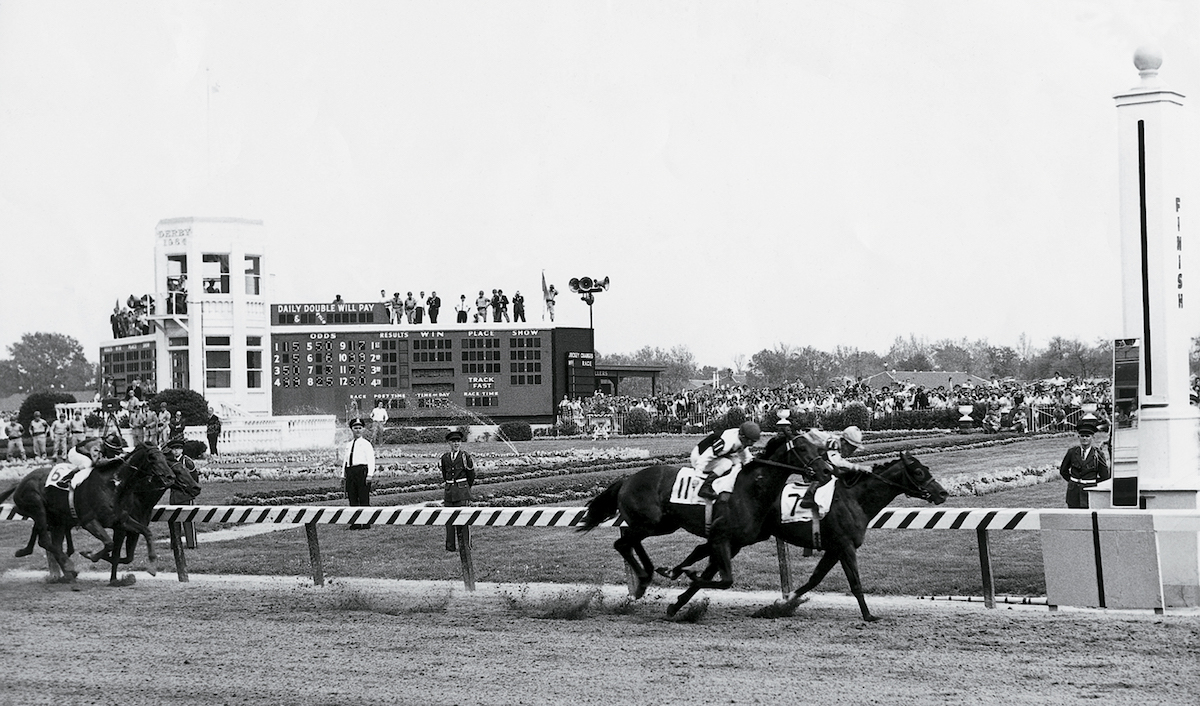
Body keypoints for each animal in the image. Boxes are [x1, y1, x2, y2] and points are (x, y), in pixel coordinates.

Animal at [0, 444, 175, 581]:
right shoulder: (89, 521)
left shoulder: (122, 520)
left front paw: (152, 565)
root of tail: (20, 482)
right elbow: (109, 543)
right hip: (38, 507)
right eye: (152, 458)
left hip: (56, 519)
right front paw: (89, 554)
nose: (170, 476)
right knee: (44, 540)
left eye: (164, 457)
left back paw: (28, 553)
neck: (114, 485)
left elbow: (146, 531)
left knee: (47, 538)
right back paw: (69, 566)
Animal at [576, 432, 830, 609]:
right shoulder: (720, 537)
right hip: (650, 522)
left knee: (630, 543)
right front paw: (686, 578)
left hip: (663, 525)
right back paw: (643, 580)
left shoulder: (734, 543)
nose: (827, 471)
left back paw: (648, 576)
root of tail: (627, 479)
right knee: (622, 543)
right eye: (802, 448)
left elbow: (708, 568)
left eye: (817, 447)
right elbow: (725, 580)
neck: (751, 490)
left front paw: (678, 588)